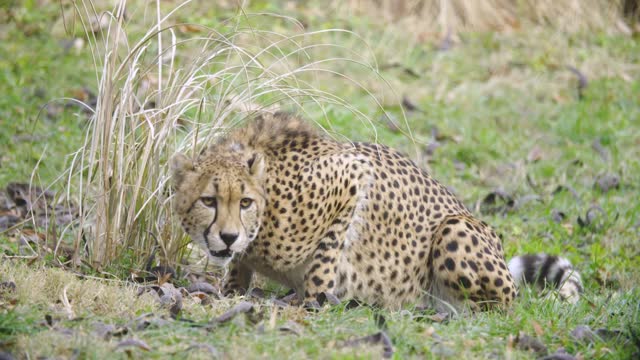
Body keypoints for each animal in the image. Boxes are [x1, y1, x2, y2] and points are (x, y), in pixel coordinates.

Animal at [169, 113, 580, 312]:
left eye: (245, 202)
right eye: (209, 201)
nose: (228, 236)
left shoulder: (351, 175)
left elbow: (327, 255)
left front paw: (314, 299)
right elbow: (238, 267)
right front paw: (232, 289)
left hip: (454, 230)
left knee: (500, 306)